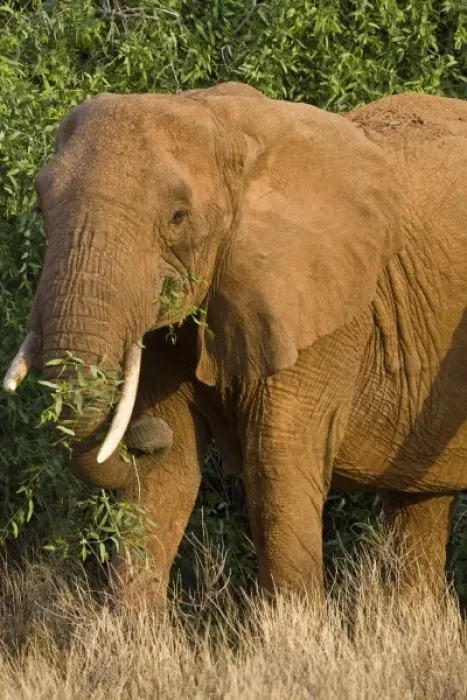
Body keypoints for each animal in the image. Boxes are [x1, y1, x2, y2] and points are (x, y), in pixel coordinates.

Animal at [4, 81, 467, 606]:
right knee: (419, 509)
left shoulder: (321, 309)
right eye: (41, 208)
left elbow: (276, 469)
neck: (225, 125)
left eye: (178, 217)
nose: (140, 437)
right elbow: (170, 473)